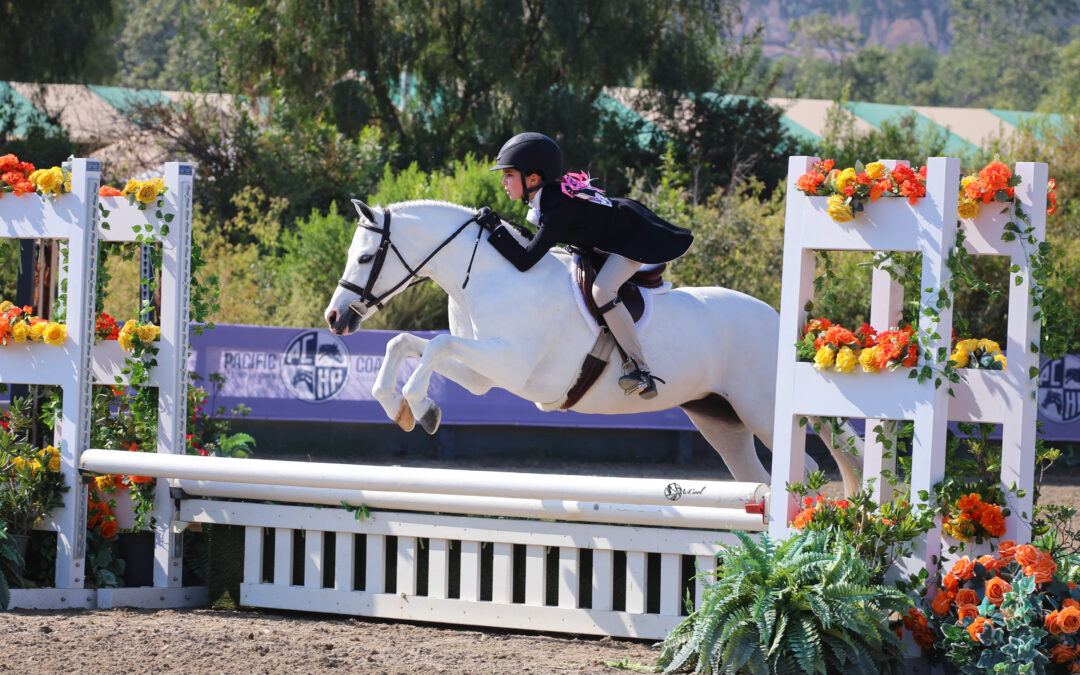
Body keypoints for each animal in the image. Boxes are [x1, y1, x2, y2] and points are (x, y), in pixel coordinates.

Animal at [321, 198, 859, 490]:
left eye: (366, 257)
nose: (335, 318)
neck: (486, 276)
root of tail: (779, 322)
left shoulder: (510, 363)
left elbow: (434, 348)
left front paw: (421, 408)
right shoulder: (481, 373)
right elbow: (406, 344)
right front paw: (399, 407)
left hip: (761, 408)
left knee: (805, 467)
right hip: (720, 418)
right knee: (757, 480)